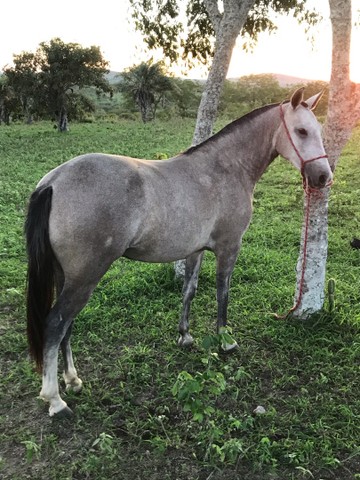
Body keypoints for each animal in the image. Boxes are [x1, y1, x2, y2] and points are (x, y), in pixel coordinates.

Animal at [26, 87, 332, 416]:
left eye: (318, 130)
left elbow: (189, 290)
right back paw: (55, 400)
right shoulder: (229, 247)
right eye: (301, 131)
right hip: (85, 277)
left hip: (67, 277)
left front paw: (185, 335)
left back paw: (72, 380)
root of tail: (53, 182)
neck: (224, 168)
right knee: (56, 324)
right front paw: (225, 340)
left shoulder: (195, 249)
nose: (323, 177)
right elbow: (222, 292)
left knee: (66, 326)